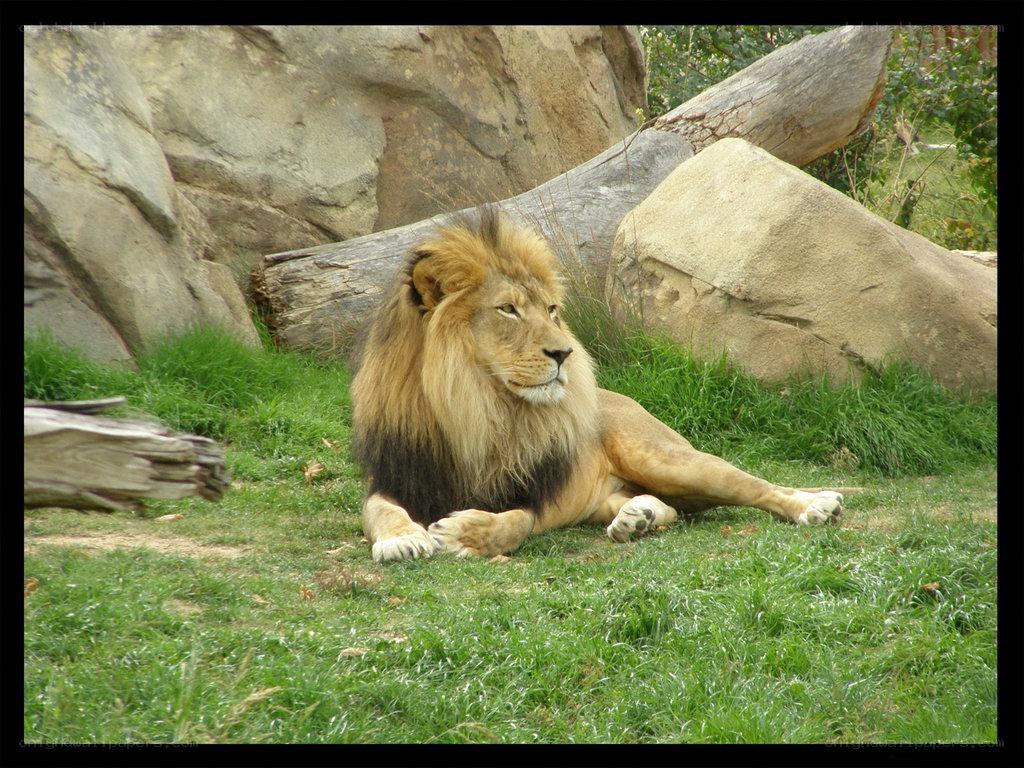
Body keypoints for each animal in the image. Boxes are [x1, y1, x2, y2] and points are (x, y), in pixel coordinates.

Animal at [350, 209, 843, 562]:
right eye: (508, 309)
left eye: (551, 310)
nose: (564, 353)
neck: (474, 408)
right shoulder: (394, 476)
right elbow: (379, 511)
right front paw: (401, 539)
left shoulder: (533, 493)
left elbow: (514, 523)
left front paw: (463, 532)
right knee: (670, 508)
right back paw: (637, 517)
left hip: (667, 459)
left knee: (756, 486)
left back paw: (817, 506)